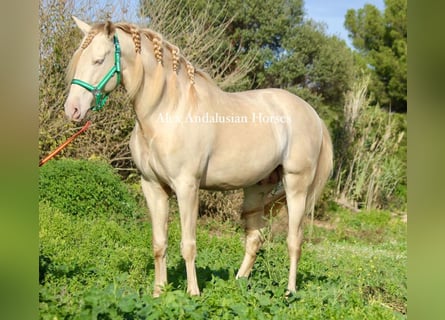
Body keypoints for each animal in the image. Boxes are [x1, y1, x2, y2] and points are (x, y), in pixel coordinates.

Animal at [64, 16, 332, 298]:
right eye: (78, 59)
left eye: (99, 60)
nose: (73, 109)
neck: (168, 111)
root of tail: (313, 114)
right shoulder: (152, 187)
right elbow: (159, 243)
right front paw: (158, 293)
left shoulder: (187, 187)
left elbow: (188, 244)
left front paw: (193, 293)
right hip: (257, 187)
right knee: (254, 238)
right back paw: (238, 284)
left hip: (296, 186)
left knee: (294, 240)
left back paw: (289, 292)